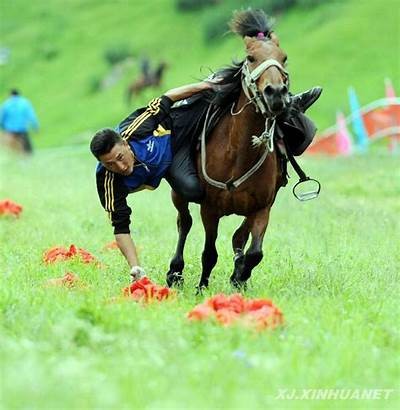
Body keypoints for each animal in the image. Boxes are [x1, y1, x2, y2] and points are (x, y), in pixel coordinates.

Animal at [166, 10, 290, 292]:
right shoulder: (210, 209)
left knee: (238, 238)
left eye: (284, 58)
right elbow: (209, 253)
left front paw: (239, 277)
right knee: (183, 222)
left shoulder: (262, 208)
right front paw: (202, 287)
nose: (276, 93)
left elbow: (254, 252)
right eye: (251, 58)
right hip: (179, 194)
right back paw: (175, 272)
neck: (239, 154)